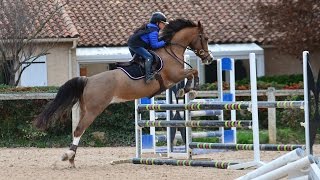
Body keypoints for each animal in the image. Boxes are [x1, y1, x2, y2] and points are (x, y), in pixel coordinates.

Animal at [33, 18, 214, 167]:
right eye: (204, 38)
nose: (210, 59)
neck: (171, 52)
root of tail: (88, 80)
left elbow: (192, 72)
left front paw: (187, 90)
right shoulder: (175, 75)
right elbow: (193, 72)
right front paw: (189, 90)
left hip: (85, 109)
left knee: (78, 130)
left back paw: (71, 159)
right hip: (94, 110)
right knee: (79, 130)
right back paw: (68, 156)